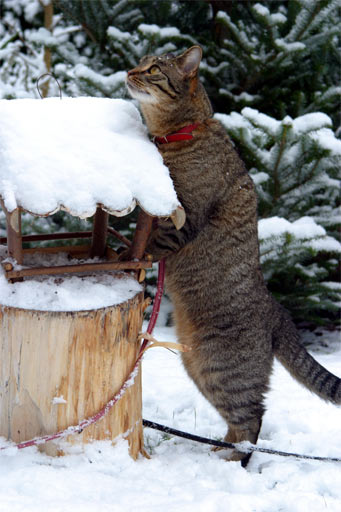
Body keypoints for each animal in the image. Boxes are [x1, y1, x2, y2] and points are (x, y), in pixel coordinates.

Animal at [125, 46, 340, 466]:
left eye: (154, 69)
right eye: (140, 62)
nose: (129, 71)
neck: (176, 136)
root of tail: (278, 312)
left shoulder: (184, 218)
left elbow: (151, 243)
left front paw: (128, 251)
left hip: (221, 368)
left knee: (252, 420)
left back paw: (230, 461)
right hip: (197, 365)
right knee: (238, 423)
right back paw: (217, 450)